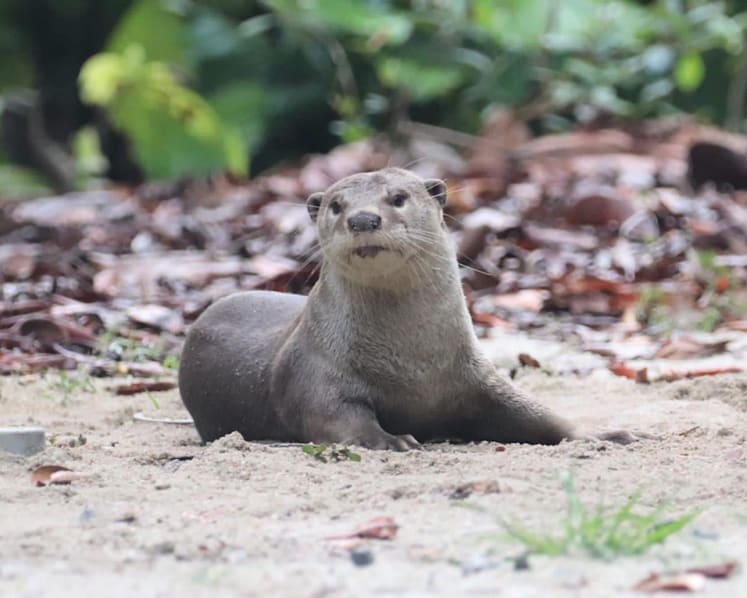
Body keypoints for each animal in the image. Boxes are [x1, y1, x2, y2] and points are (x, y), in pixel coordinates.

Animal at [179, 168, 574, 449]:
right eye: (337, 206)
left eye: (398, 198)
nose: (363, 219)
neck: (414, 363)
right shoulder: (316, 371)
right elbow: (336, 415)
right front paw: (391, 439)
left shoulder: (478, 376)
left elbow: (540, 416)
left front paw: (586, 435)